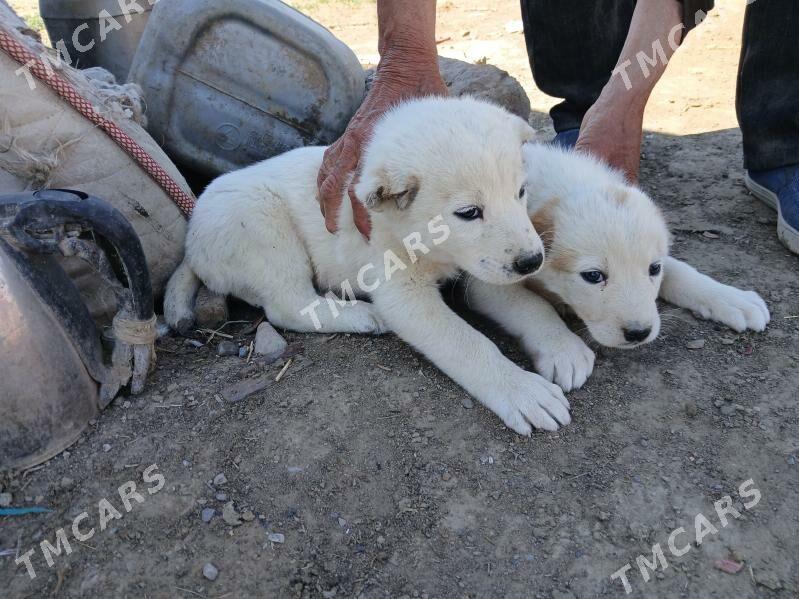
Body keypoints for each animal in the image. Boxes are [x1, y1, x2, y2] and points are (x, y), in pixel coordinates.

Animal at [166, 98, 572, 436]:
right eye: (469, 212)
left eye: (520, 193)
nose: (532, 261)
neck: (432, 249)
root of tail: (192, 241)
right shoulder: (404, 294)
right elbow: (467, 342)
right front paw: (521, 389)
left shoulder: (480, 268)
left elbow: (528, 303)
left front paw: (562, 346)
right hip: (260, 222)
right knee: (288, 306)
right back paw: (363, 315)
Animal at [466, 145, 772, 396]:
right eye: (593, 276)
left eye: (653, 268)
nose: (639, 334)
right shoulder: (485, 279)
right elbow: (531, 304)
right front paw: (562, 348)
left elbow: (680, 271)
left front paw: (731, 298)